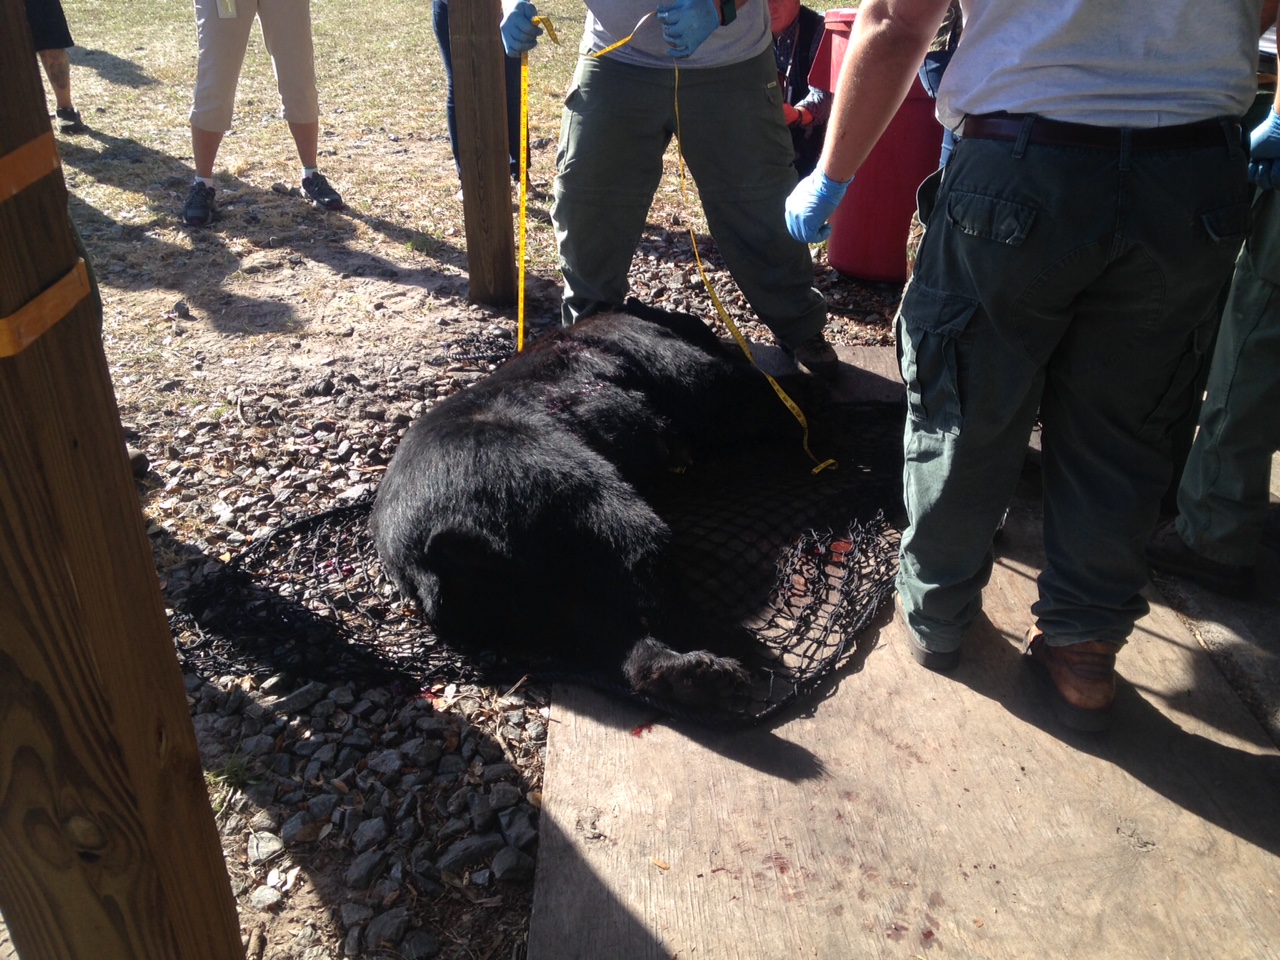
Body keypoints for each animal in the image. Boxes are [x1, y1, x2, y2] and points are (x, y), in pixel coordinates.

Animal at [370, 299, 819, 706]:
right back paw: (723, 644)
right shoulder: (683, 368)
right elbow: (746, 397)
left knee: (595, 628)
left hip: (523, 600)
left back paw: (690, 674)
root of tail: (431, 554)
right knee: (641, 558)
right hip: (558, 488)